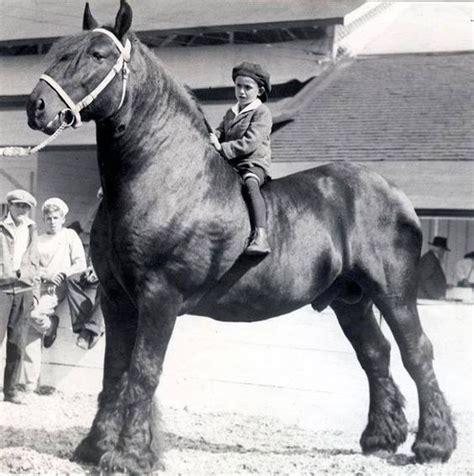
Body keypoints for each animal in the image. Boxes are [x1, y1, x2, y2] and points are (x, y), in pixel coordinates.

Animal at [25, 1, 456, 474]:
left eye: (99, 54)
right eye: (60, 49)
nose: (36, 106)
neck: (164, 175)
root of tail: (395, 195)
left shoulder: (160, 297)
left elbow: (143, 371)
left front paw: (130, 455)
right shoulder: (118, 299)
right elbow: (115, 369)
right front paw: (96, 447)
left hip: (393, 294)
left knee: (417, 351)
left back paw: (433, 445)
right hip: (351, 300)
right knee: (375, 354)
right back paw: (381, 438)